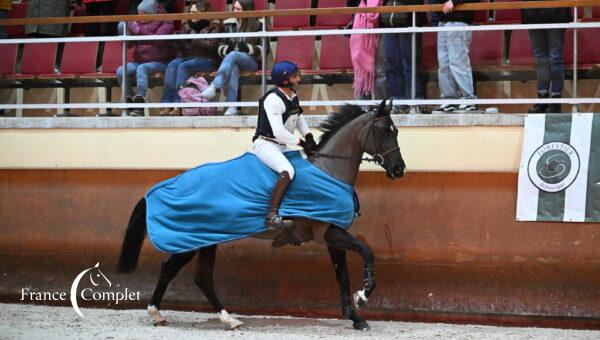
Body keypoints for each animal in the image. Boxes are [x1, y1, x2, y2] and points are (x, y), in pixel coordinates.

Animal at [116, 99, 408, 332]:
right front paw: (363, 295)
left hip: (207, 239)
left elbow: (342, 274)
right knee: (172, 269)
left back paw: (227, 319)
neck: (329, 170)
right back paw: (157, 313)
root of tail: (164, 186)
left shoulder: (330, 234)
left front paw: (354, 316)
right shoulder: (330, 232)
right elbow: (367, 252)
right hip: (194, 238)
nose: (399, 169)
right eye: (384, 130)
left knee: (202, 278)